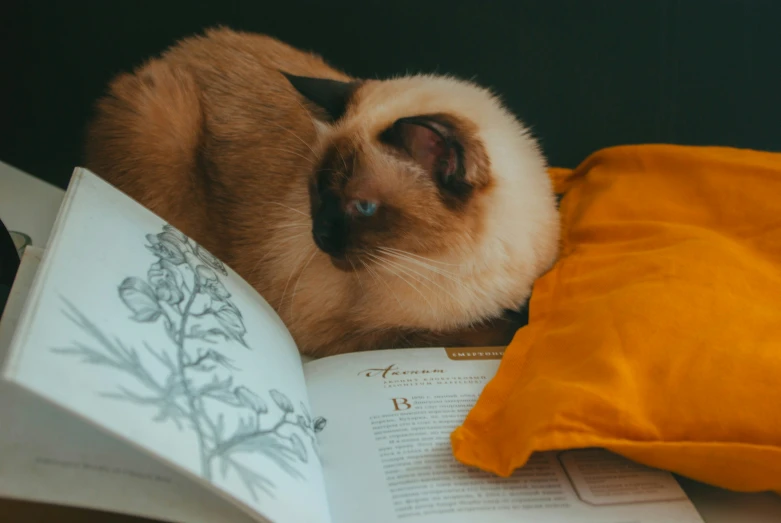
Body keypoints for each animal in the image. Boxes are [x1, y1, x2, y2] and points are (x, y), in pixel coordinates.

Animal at [84, 26, 560, 358]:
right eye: (316, 189)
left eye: (363, 207)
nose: (320, 237)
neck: (437, 263)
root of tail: (171, 53)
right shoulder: (353, 337)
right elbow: (472, 332)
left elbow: (513, 315)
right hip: (161, 118)